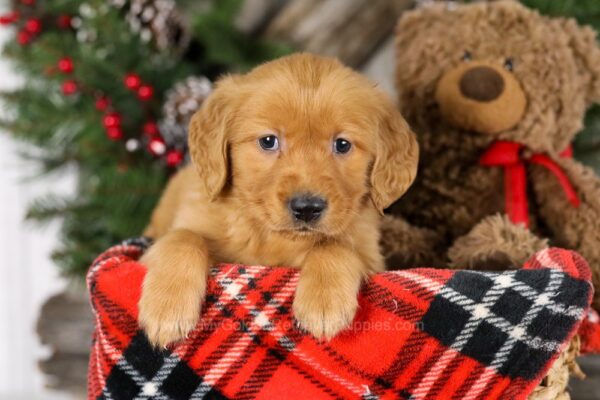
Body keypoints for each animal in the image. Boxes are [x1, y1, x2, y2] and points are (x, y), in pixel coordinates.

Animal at [139, 53, 418, 346]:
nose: (307, 208)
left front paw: (324, 302)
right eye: (268, 141)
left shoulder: (371, 254)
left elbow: (335, 244)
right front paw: (167, 308)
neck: (271, 237)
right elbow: (183, 237)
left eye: (342, 144)